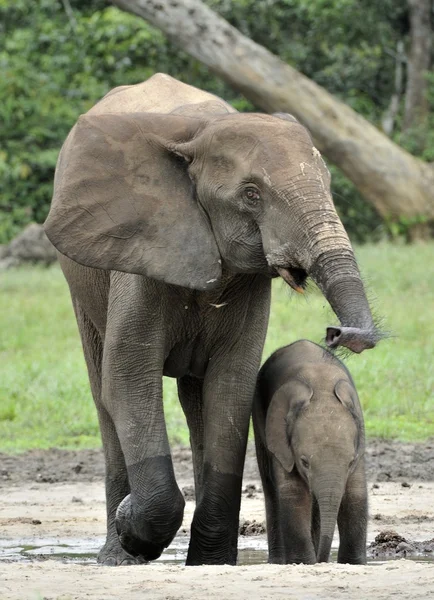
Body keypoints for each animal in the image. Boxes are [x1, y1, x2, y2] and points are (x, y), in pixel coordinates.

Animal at [253, 340, 368, 564]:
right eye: (304, 462)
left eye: (350, 463)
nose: (323, 560)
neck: (321, 386)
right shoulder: (282, 441)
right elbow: (294, 493)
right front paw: (304, 562)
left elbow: (355, 493)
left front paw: (354, 563)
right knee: (271, 488)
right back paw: (278, 561)